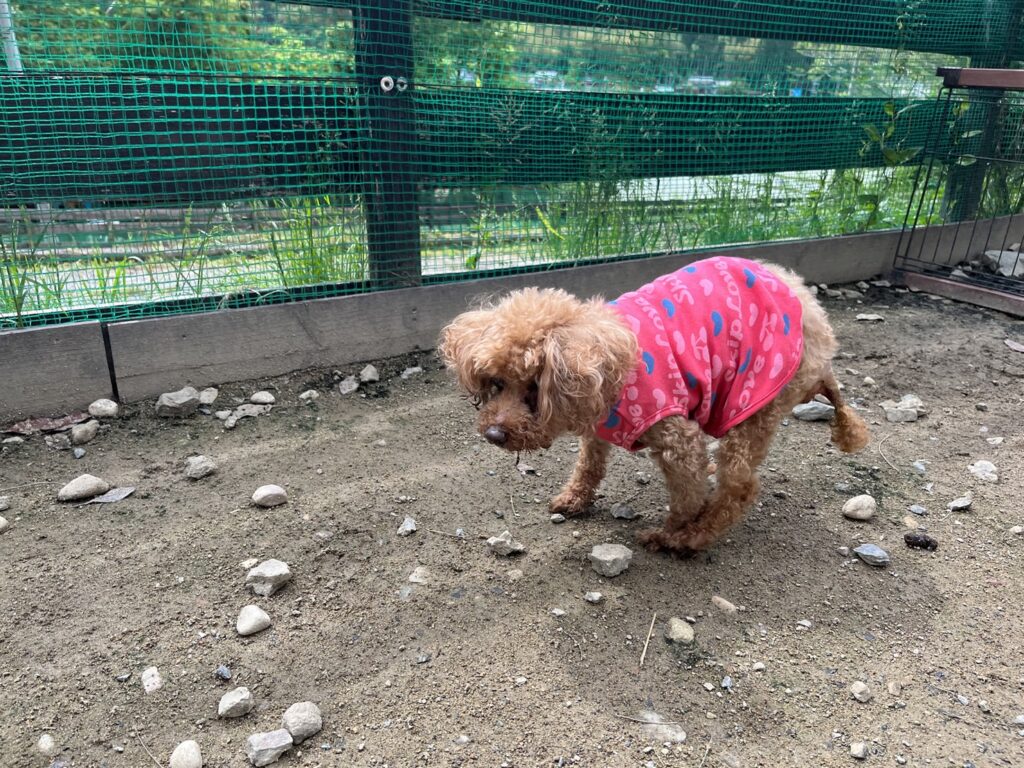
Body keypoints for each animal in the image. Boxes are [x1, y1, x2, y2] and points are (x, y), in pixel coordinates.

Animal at [439, 256, 869, 555]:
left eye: (533, 388)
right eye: (496, 383)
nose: (494, 434)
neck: (606, 365)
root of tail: (812, 310)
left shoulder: (677, 437)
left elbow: (687, 494)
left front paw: (673, 530)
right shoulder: (597, 425)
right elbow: (589, 464)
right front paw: (574, 499)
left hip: (755, 398)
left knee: (739, 487)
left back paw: (691, 538)